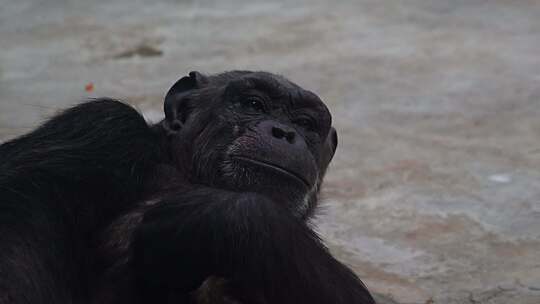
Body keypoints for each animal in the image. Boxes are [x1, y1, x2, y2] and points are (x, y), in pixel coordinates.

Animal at [0, 70, 376, 304]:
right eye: (254, 104)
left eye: (306, 124)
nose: (284, 133)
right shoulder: (97, 129)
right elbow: (18, 217)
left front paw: (218, 217)